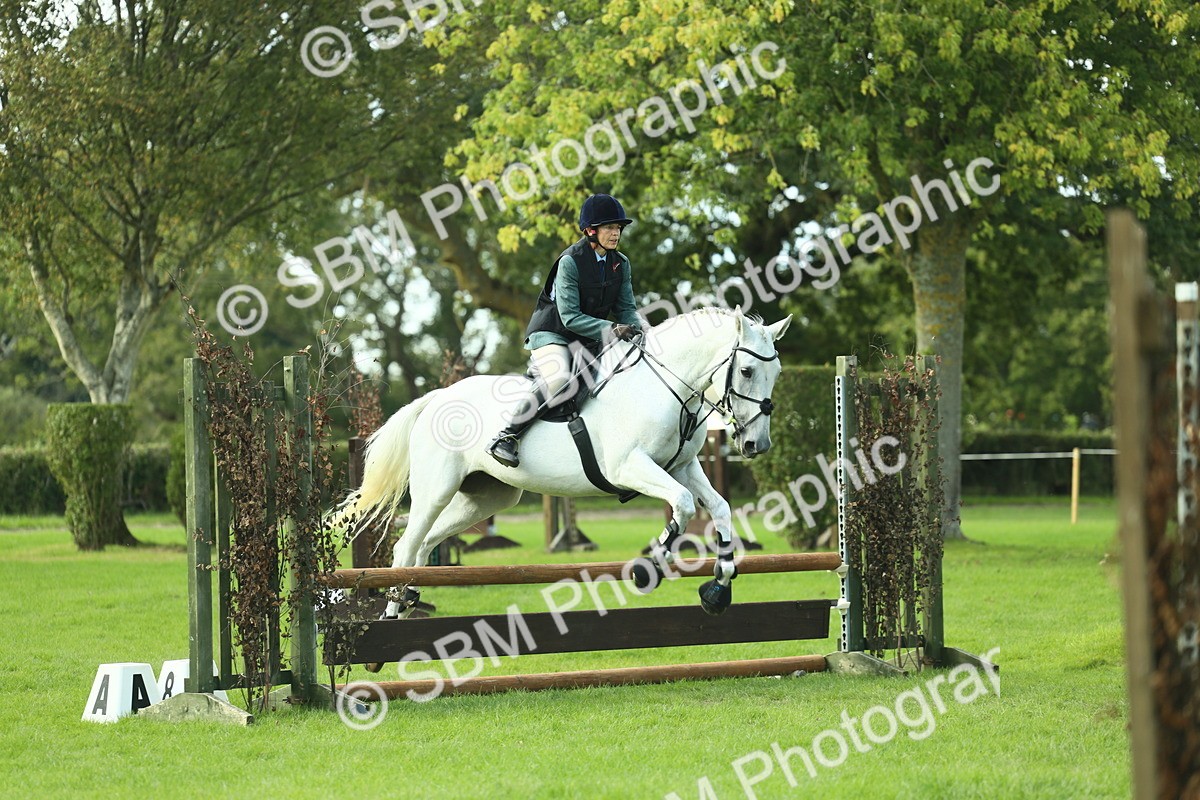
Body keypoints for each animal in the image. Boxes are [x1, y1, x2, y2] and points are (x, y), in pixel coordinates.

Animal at [336, 306, 791, 642]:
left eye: (778, 374)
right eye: (747, 371)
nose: (757, 445)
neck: (666, 387)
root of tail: (437, 397)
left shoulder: (683, 467)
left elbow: (720, 509)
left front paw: (718, 589)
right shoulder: (630, 467)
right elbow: (681, 505)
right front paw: (649, 569)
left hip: (485, 499)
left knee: (426, 544)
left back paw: (410, 600)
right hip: (436, 490)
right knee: (405, 547)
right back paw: (390, 619)